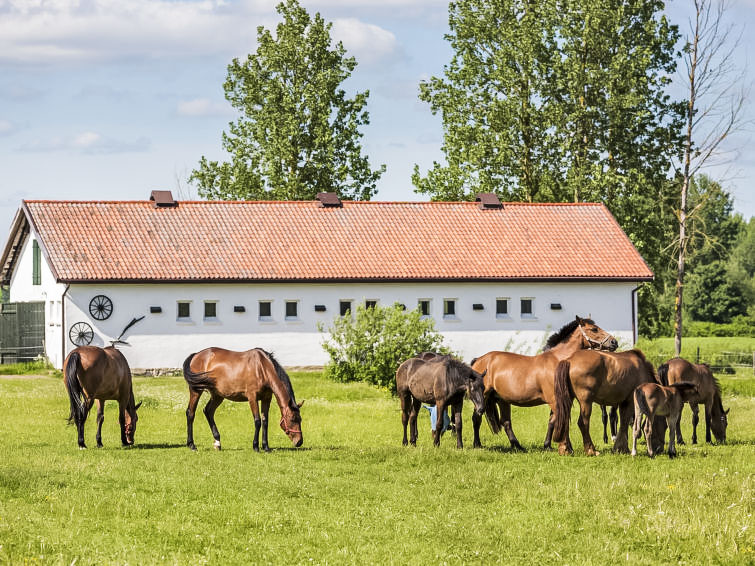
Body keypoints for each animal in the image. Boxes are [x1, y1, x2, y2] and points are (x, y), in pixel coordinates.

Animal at [471, 316, 617, 451]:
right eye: (594, 329)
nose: (614, 342)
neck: (558, 360)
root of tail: (479, 360)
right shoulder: (555, 400)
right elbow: (561, 421)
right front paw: (566, 448)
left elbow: (552, 422)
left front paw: (548, 445)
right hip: (483, 397)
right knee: (476, 418)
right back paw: (477, 444)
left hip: (503, 400)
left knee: (506, 422)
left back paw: (517, 446)